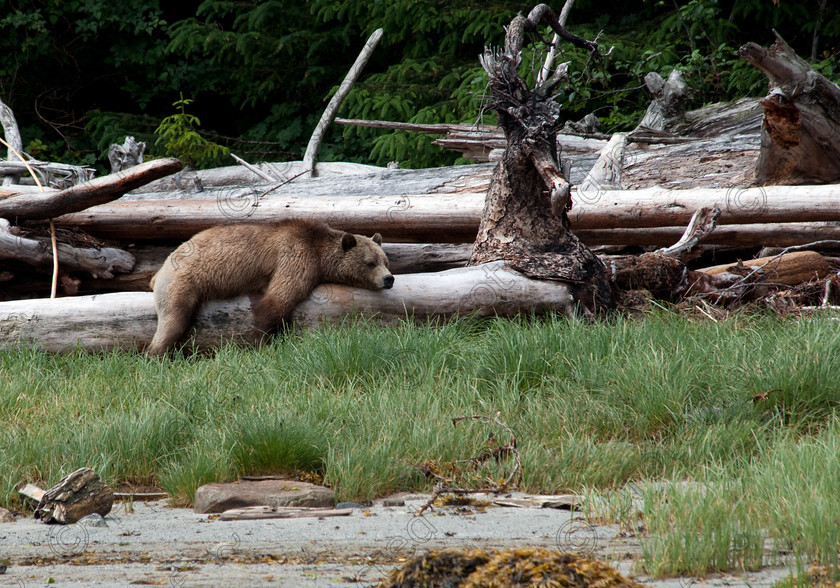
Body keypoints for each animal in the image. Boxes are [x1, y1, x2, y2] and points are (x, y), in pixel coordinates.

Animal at [147, 220, 394, 356]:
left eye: (385, 261)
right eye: (370, 263)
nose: (388, 279)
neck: (320, 253)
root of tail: (160, 269)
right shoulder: (296, 256)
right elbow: (278, 300)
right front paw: (265, 341)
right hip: (181, 282)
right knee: (173, 320)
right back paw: (156, 355)